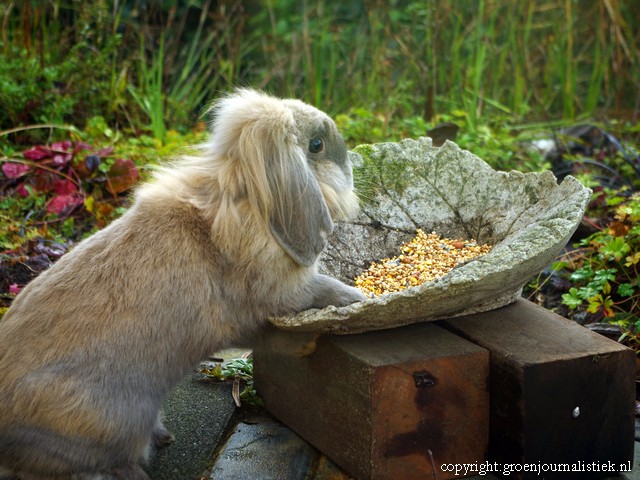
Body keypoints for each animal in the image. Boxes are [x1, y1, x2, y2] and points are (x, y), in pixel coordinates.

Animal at [0, 88, 364, 478]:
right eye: (316, 145)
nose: (351, 167)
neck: (246, 205)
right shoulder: (271, 304)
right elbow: (304, 307)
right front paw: (349, 302)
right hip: (109, 423)